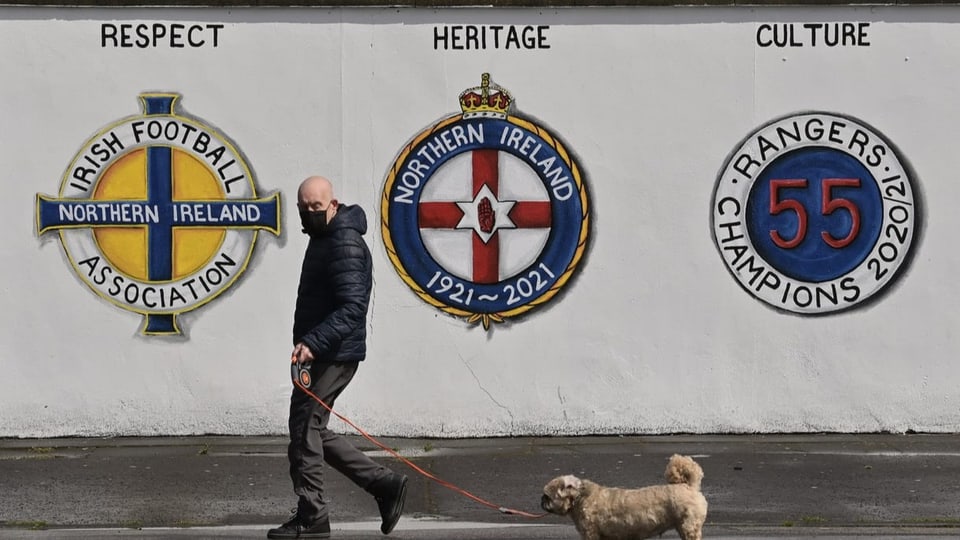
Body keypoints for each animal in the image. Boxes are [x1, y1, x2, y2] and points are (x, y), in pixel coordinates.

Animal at [544, 454, 708, 536]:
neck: (580, 497)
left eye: (547, 496)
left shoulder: (591, 533)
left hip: (689, 527)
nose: (541, 500)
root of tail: (688, 486)